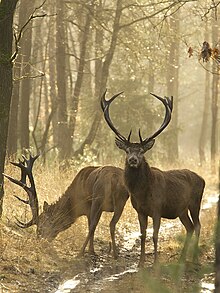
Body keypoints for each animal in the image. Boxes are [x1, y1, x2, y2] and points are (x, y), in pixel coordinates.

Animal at [100, 90, 205, 266]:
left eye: (142, 151)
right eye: (127, 150)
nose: (133, 160)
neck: (142, 193)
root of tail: (202, 179)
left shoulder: (157, 208)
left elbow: (155, 236)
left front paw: (155, 263)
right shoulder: (140, 211)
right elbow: (143, 236)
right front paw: (141, 263)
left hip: (195, 201)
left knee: (197, 226)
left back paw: (194, 259)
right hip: (182, 209)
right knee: (189, 227)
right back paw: (181, 259)